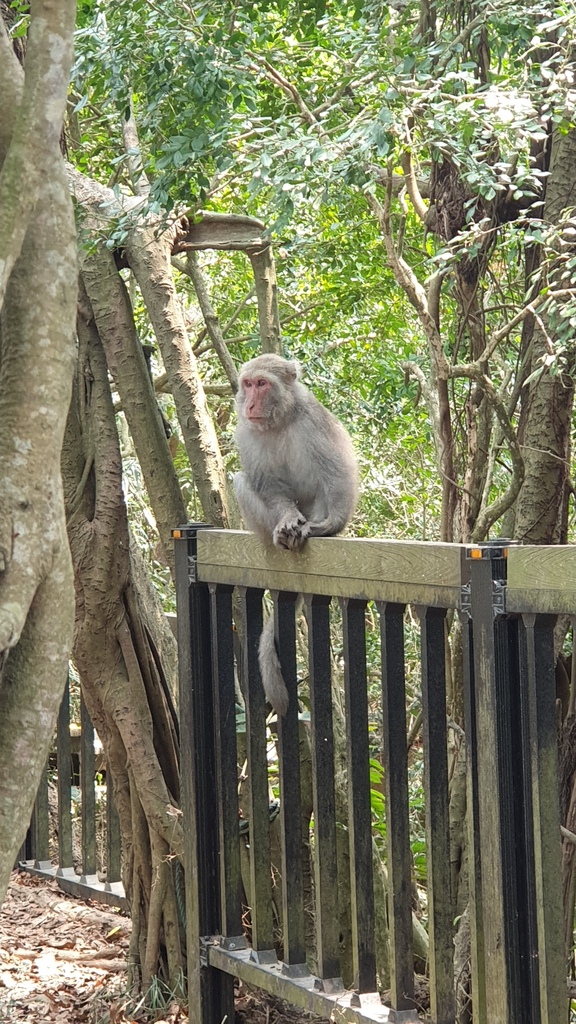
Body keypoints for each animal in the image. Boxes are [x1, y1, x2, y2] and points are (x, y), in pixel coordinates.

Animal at [230, 352, 356, 712]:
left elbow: (337, 469)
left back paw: (316, 530)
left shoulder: (313, 419)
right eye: (248, 384)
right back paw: (279, 538)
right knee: (242, 480)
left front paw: (332, 524)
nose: (250, 403)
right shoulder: (246, 432)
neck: (279, 420)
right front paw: (286, 521)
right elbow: (268, 485)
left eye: (262, 383)